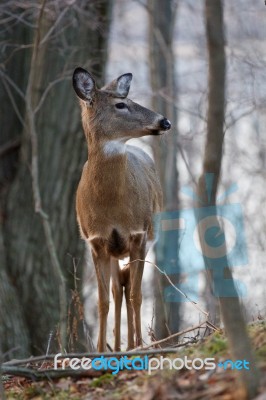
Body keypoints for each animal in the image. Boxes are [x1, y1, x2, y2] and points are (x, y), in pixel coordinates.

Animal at [72, 67, 171, 352]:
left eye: (127, 99)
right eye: (120, 104)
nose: (165, 122)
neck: (112, 207)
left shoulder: (139, 234)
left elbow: (137, 295)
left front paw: (138, 345)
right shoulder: (96, 241)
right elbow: (103, 301)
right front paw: (102, 350)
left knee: (128, 290)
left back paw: (130, 345)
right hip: (115, 251)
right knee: (118, 290)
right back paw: (117, 347)